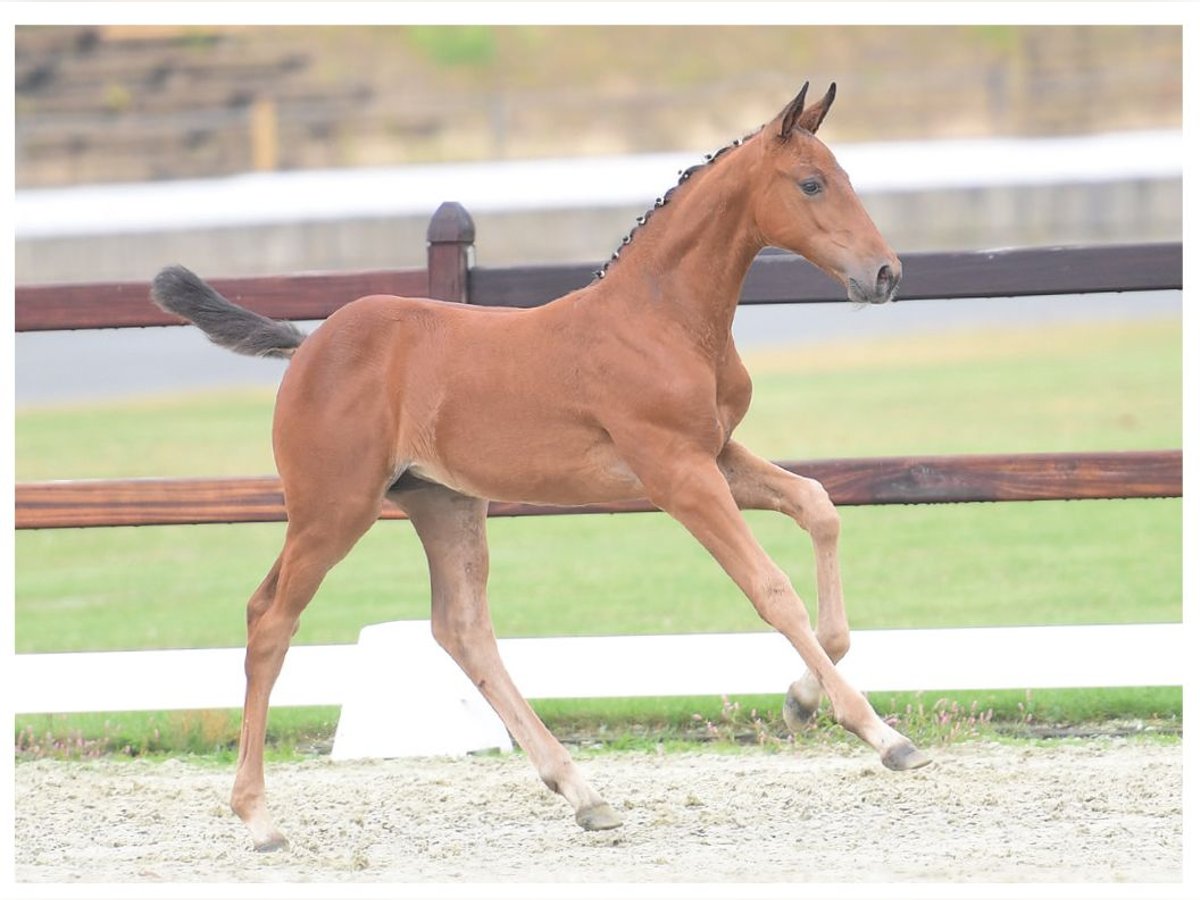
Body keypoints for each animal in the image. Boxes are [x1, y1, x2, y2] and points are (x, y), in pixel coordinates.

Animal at [150, 82, 926, 854]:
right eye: (811, 183)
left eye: (844, 176)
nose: (885, 273)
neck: (662, 320)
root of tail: (308, 346)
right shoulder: (677, 472)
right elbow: (770, 589)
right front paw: (882, 735)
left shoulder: (716, 454)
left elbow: (818, 504)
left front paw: (800, 699)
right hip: (334, 508)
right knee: (270, 618)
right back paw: (258, 818)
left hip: (443, 503)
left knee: (462, 628)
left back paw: (583, 793)